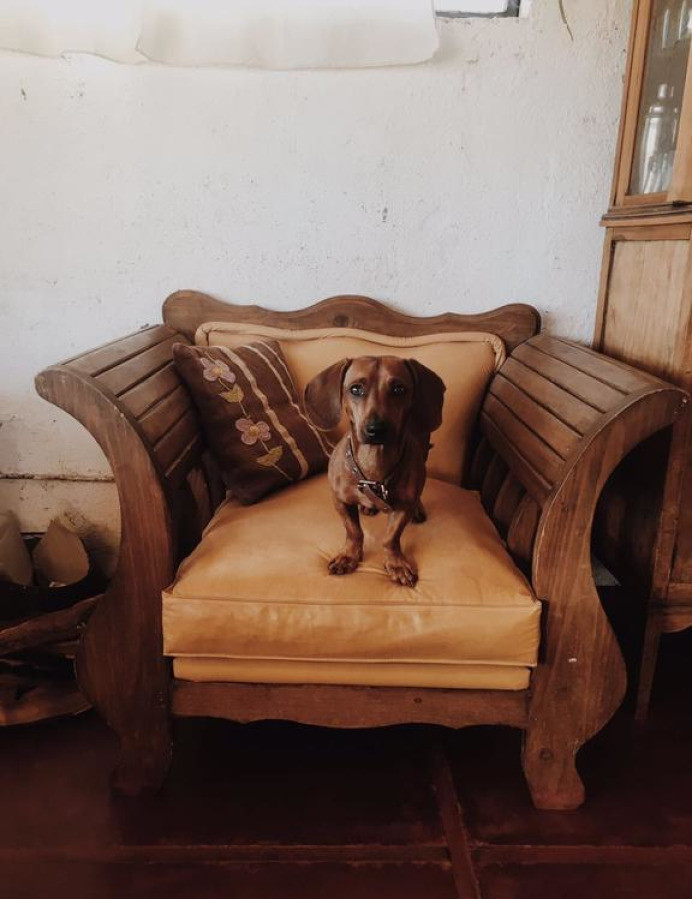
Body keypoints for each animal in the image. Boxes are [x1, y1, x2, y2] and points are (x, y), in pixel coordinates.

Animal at [304, 356, 445, 587]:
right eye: (355, 389)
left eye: (399, 388)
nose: (376, 429)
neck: (373, 468)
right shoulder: (340, 501)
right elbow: (353, 532)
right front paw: (348, 556)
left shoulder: (403, 508)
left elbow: (390, 538)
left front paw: (396, 563)